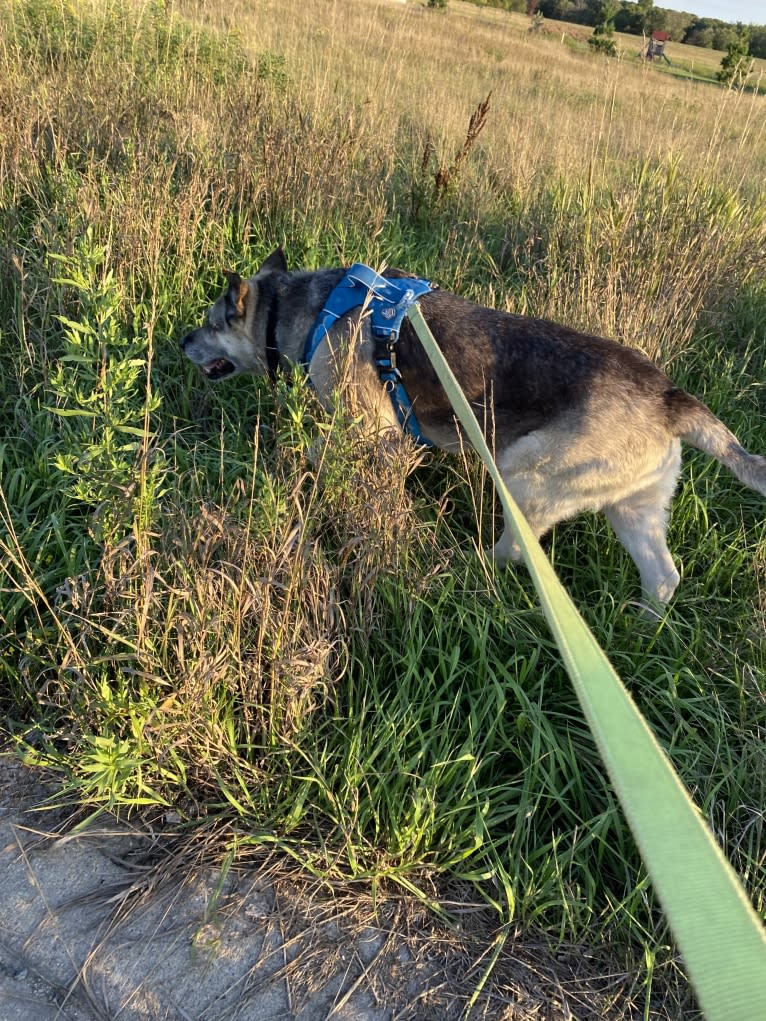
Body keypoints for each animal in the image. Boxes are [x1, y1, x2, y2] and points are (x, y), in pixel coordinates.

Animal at [181, 250, 766, 600]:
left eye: (210, 323)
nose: (182, 341)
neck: (295, 310)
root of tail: (670, 398)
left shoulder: (378, 435)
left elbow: (325, 455)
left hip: (524, 476)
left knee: (515, 552)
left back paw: (467, 570)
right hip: (633, 509)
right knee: (664, 577)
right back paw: (640, 635)